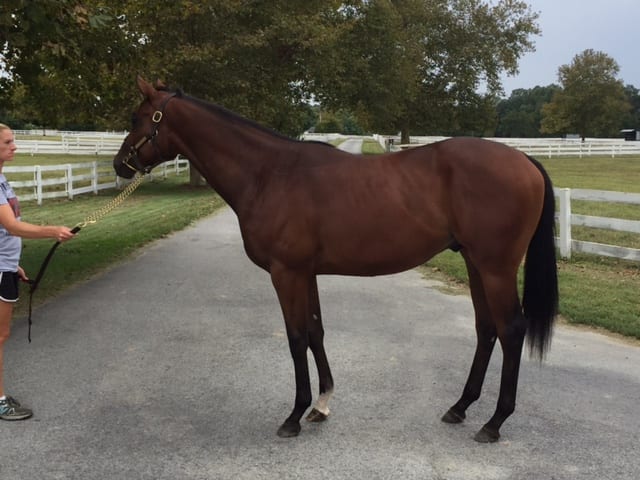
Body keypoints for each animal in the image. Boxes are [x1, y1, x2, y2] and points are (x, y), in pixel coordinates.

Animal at [114, 78, 556, 442]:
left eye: (138, 118)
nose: (120, 165)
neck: (268, 173)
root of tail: (525, 161)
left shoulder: (286, 273)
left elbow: (295, 338)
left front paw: (293, 415)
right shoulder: (305, 273)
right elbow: (315, 331)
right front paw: (321, 405)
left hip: (496, 268)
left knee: (511, 330)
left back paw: (494, 423)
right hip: (475, 264)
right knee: (487, 329)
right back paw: (460, 408)